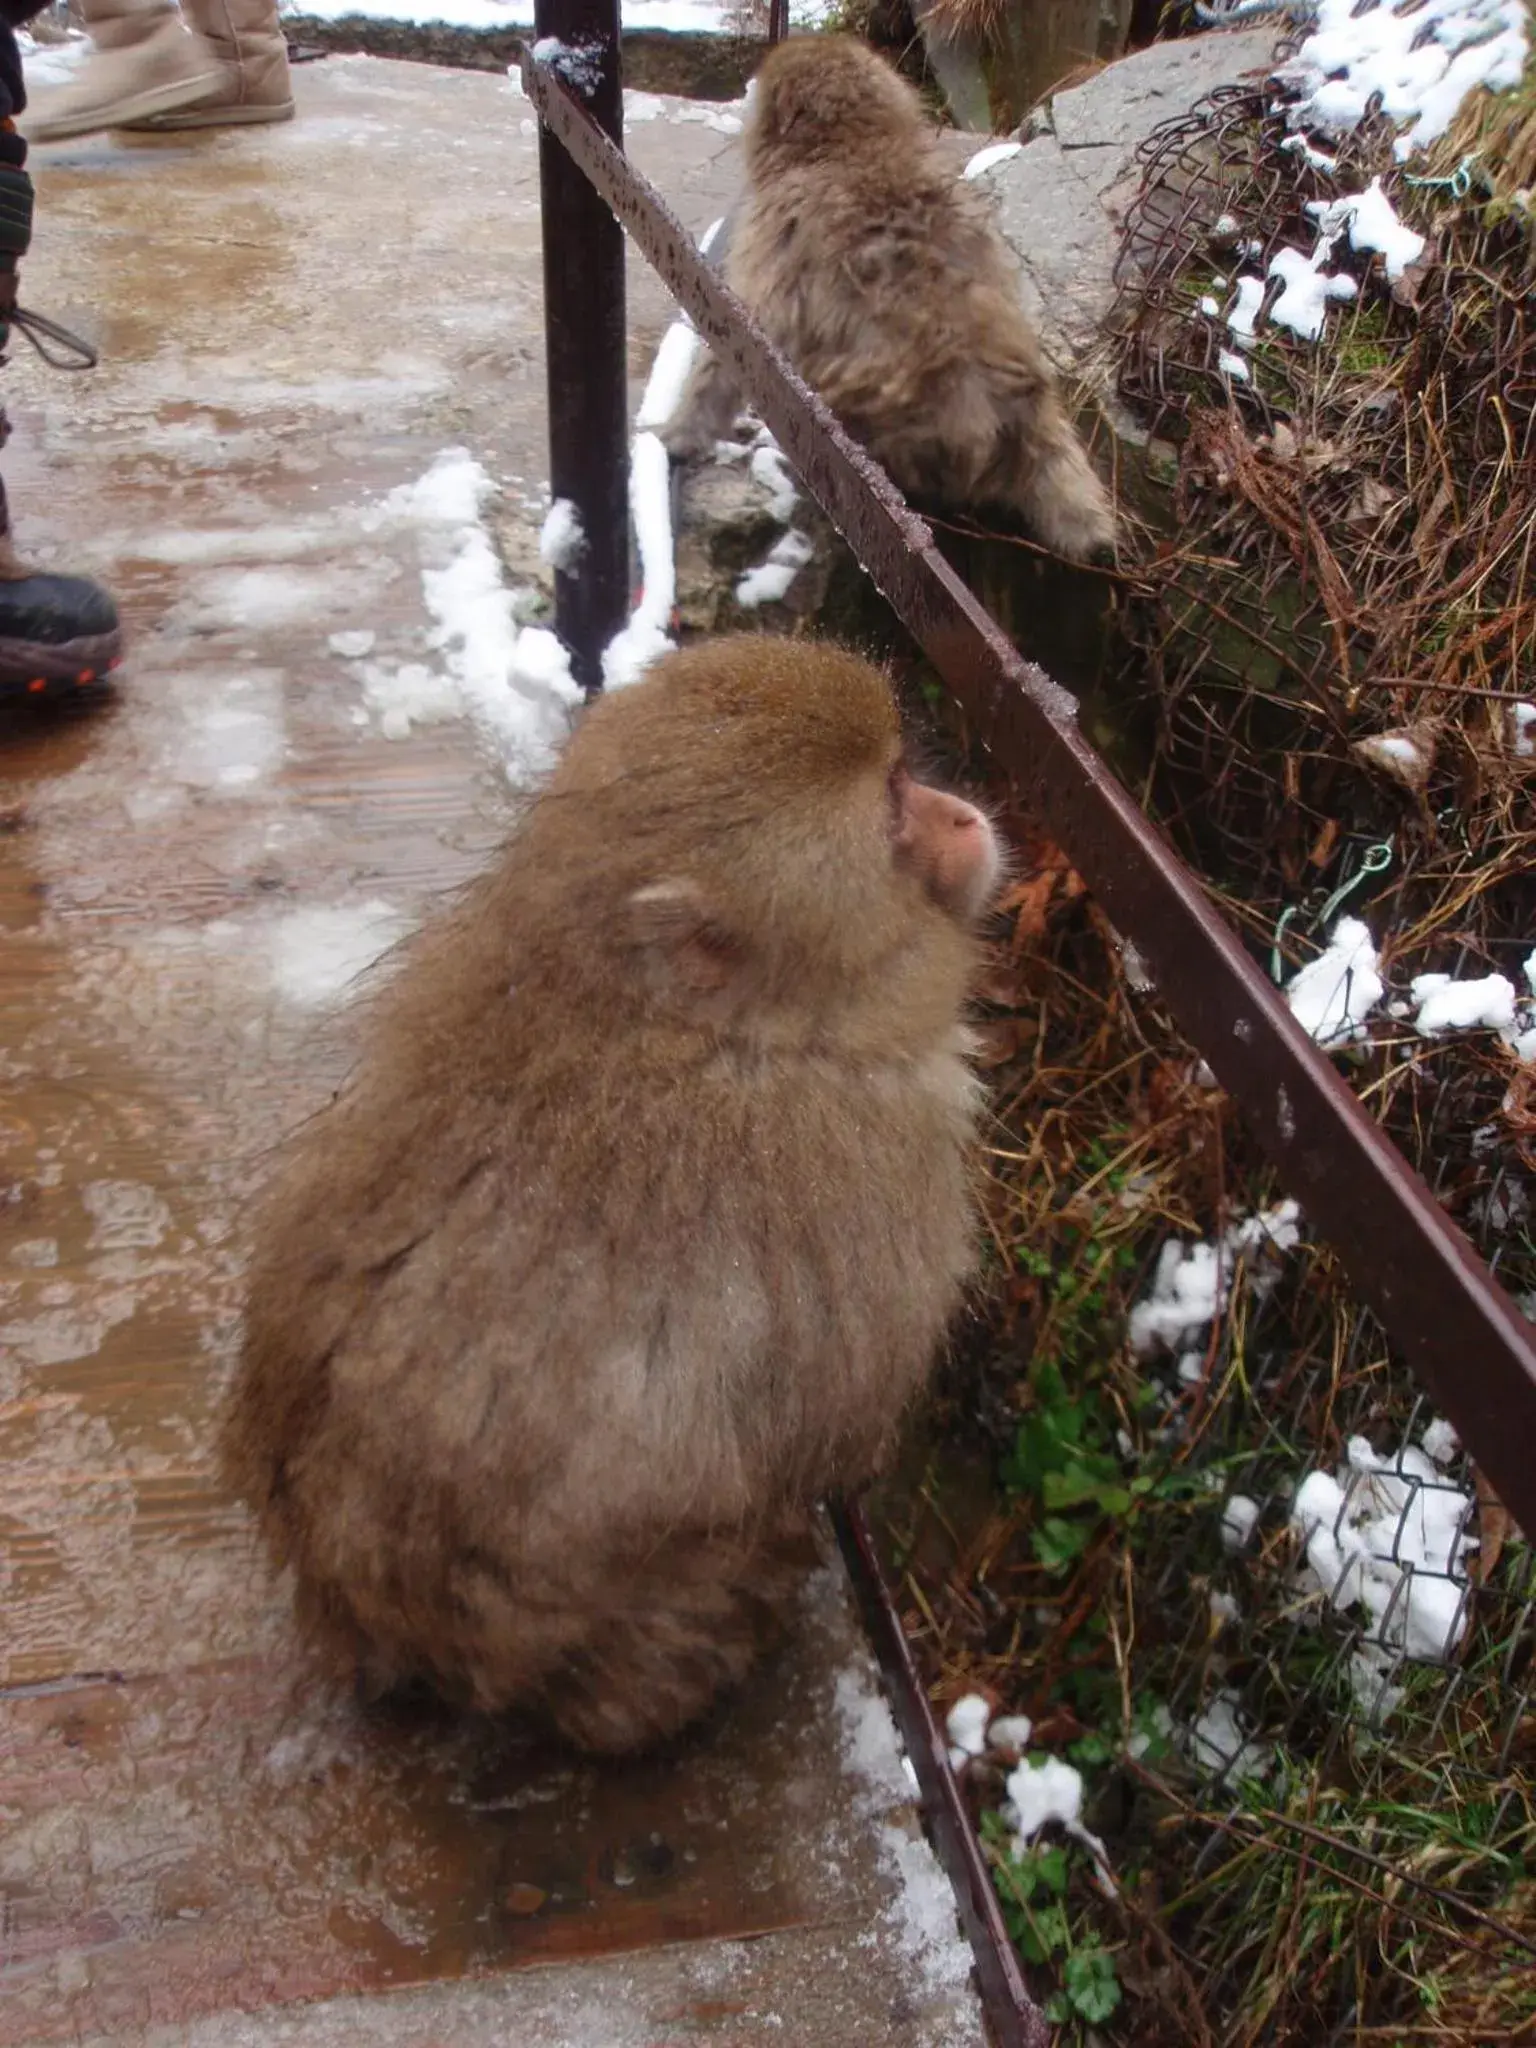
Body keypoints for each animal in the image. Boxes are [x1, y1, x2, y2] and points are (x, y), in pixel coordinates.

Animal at [222, 630, 1003, 1753]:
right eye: (895, 806)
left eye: (906, 774)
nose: (960, 815)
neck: (708, 1027)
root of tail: (361, 1614)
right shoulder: (872, 1168)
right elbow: (831, 1421)